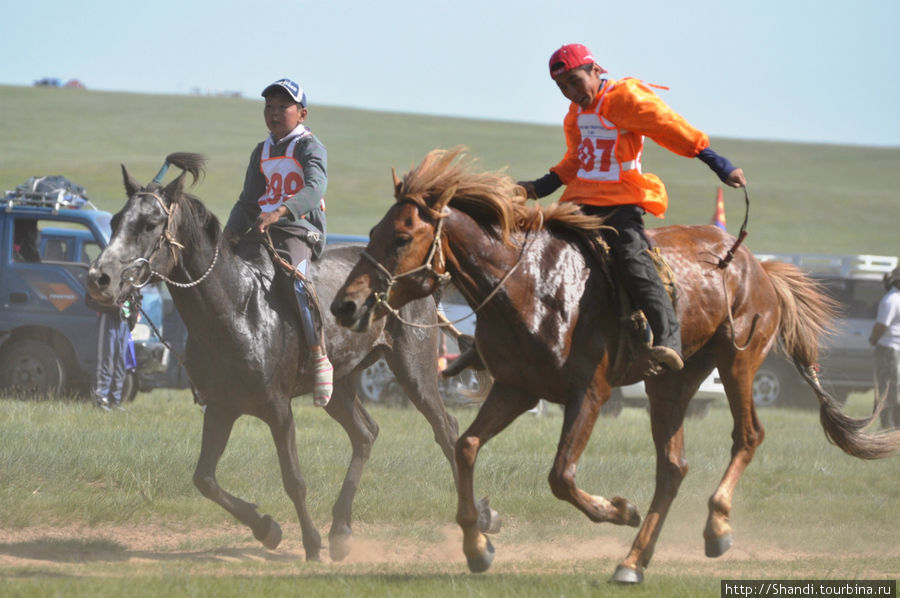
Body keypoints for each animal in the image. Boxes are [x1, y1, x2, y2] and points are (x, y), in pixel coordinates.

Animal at [332, 149, 900, 584]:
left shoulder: (590, 391)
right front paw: (477, 547)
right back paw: (633, 562)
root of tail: (753, 263)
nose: (345, 305)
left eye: (402, 237)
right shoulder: (516, 389)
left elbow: (561, 475)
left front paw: (618, 510)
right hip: (671, 383)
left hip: (739, 359)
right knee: (673, 467)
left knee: (748, 436)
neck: (531, 285)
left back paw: (715, 528)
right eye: (373, 230)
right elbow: (467, 447)